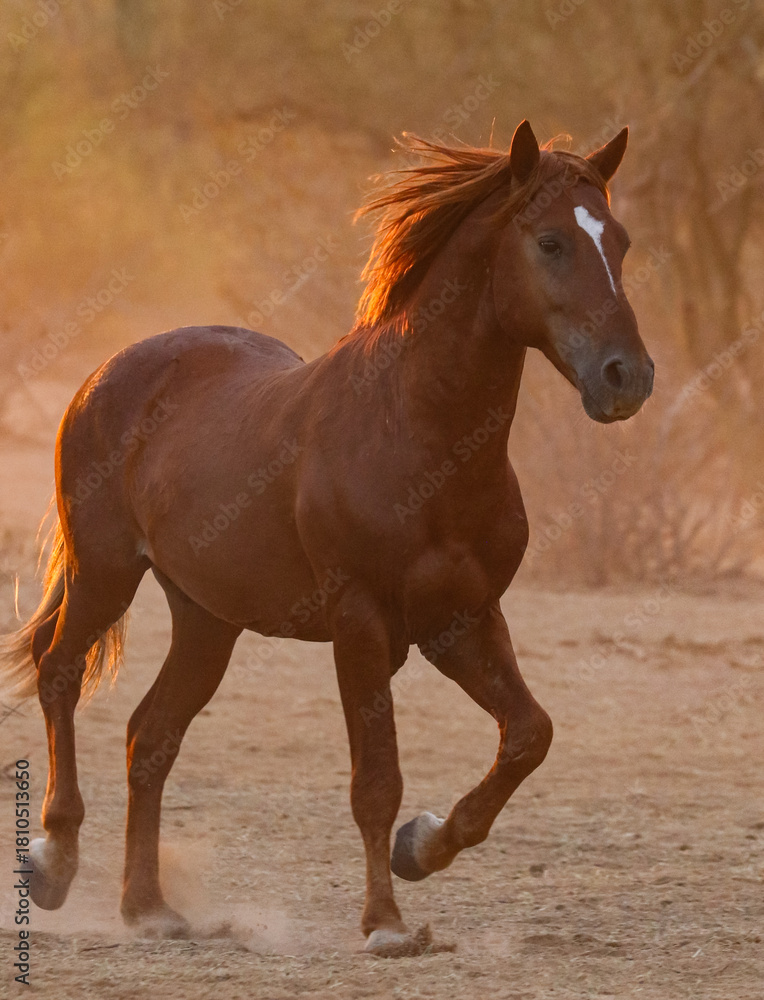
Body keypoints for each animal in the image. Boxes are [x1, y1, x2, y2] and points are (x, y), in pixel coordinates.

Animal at [1, 120, 653, 956]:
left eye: (622, 241)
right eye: (550, 242)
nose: (626, 377)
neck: (416, 434)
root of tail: (105, 375)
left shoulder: (463, 621)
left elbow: (527, 735)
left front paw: (423, 847)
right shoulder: (362, 623)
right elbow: (376, 780)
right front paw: (386, 925)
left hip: (206, 618)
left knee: (151, 736)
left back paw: (149, 909)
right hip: (104, 572)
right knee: (60, 674)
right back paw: (52, 860)